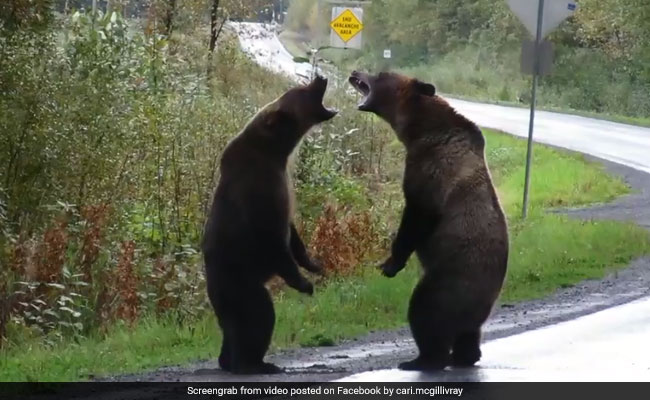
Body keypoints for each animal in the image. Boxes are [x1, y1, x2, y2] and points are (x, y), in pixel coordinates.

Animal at [202, 75, 337, 374]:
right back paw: (253, 364)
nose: (320, 78)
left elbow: (292, 232)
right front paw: (304, 283)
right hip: (239, 281)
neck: (276, 152)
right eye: (301, 91)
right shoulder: (260, 192)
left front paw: (314, 264)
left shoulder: (282, 186)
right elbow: (274, 241)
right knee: (258, 315)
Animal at [348, 71, 509, 371]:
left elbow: (417, 216)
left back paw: (422, 359)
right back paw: (464, 356)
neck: (418, 131)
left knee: (425, 310)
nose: (355, 72)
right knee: (468, 333)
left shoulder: (430, 170)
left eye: (380, 74)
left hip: (451, 279)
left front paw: (390, 264)